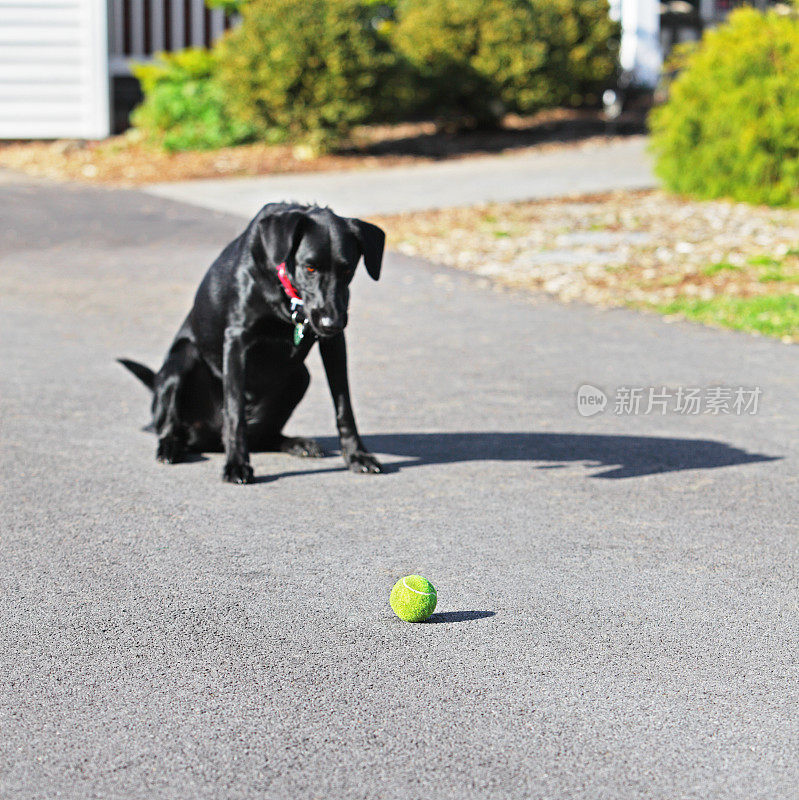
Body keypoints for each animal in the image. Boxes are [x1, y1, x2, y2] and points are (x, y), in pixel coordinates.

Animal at [118, 203, 388, 484]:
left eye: (347, 270)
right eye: (310, 268)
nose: (330, 323)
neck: (286, 296)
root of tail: (209, 440)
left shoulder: (334, 344)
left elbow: (344, 405)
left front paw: (357, 455)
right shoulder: (236, 340)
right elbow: (234, 411)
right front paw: (237, 464)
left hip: (299, 377)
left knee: (264, 437)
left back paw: (298, 443)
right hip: (181, 360)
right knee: (172, 426)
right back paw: (170, 446)